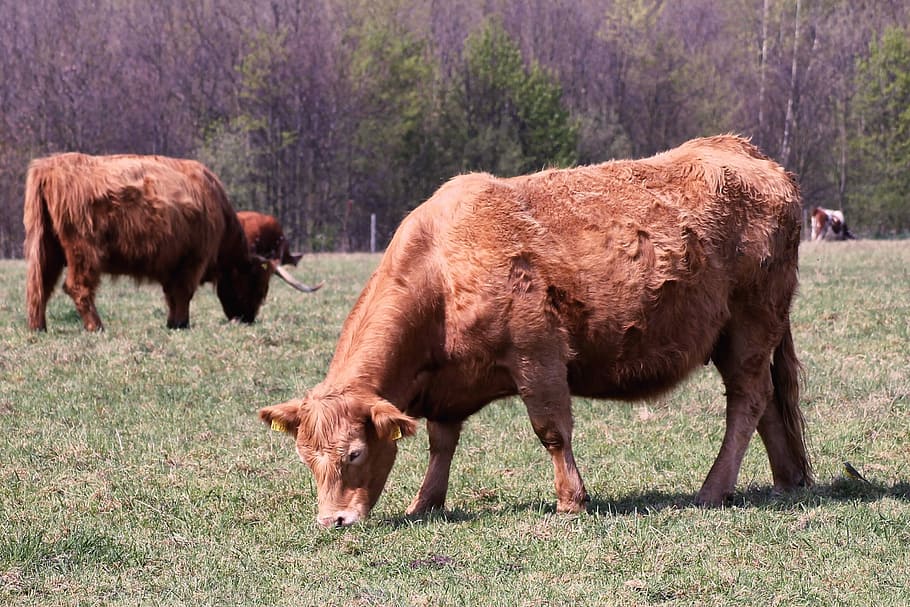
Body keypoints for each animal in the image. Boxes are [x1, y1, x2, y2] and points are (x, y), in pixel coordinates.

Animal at [260, 134, 816, 528]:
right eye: (306, 457)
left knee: (747, 400)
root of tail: (742, 149)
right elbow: (442, 442)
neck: (441, 268)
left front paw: (571, 501)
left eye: (354, 453)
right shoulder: (449, 387)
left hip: (750, 326)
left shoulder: (538, 354)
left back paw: (712, 490)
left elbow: (551, 430)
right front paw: (426, 503)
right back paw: (786, 480)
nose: (333, 520)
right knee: (767, 403)